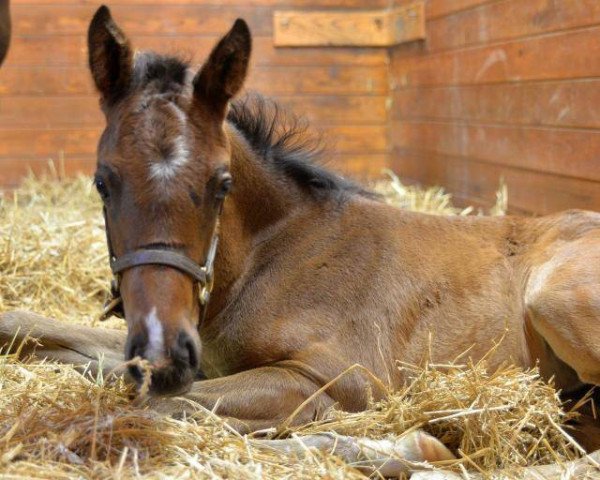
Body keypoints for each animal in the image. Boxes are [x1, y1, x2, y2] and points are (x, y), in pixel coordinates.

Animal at [3, 6, 600, 458]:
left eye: (221, 183)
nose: (163, 352)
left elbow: (162, 404)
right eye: (102, 181)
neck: (269, 256)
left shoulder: (336, 376)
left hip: (555, 301)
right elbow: (41, 332)